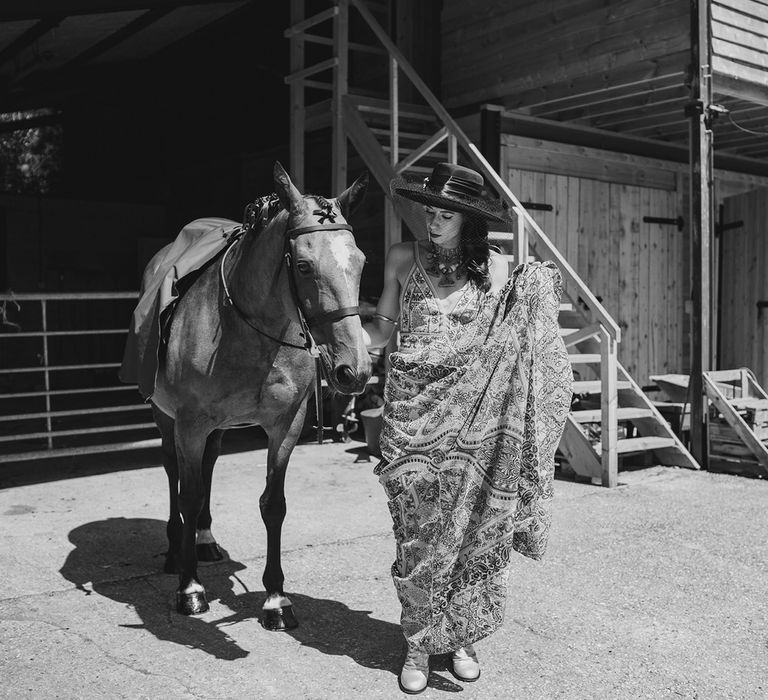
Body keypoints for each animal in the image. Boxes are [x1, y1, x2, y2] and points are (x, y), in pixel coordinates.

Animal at [146, 164, 372, 628]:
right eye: (303, 266)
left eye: (360, 262)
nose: (353, 370)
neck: (250, 329)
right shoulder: (189, 424)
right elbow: (189, 494)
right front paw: (190, 589)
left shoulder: (285, 426)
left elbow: (273, 505)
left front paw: (276, 599)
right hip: (167, 418)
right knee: (174, 473)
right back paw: (177, 550)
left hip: (215, 429)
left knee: (209, 465)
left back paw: (204, 539)